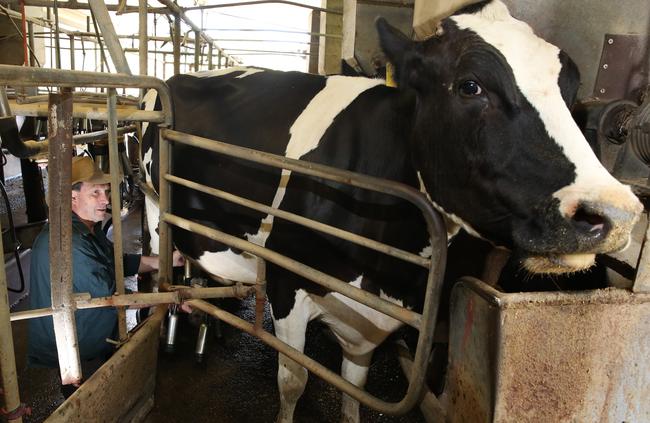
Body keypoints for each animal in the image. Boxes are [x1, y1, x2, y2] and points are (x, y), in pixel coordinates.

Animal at [140, 1, 636, 422]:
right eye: (470, 85)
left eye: (571, 94)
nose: (614, 215)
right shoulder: (285, 282)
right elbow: (293, 380)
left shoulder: (368, 322)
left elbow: (353, 390)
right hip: (151, 205)